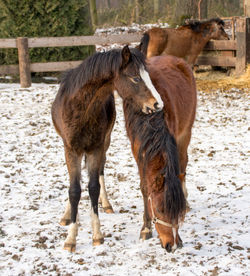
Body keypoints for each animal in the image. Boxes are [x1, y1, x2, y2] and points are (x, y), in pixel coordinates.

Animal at [51, 45, 164, 252]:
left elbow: (93, 187)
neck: (81, 108)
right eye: (135, 78)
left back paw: (106, 204)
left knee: (101, 170)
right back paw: (68, 214)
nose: (157, 104)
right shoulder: (71, 150)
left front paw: (97, 235)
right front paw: (70, 238)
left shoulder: (95, 148)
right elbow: (74, 190)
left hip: (105, 142)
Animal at [123, 54, 197, 252]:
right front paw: (146, 228)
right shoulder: (138, 151)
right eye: (161, 210)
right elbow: (144, 187)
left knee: (184, 165)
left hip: (186, 133)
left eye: (177, 213)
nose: (173, 245)